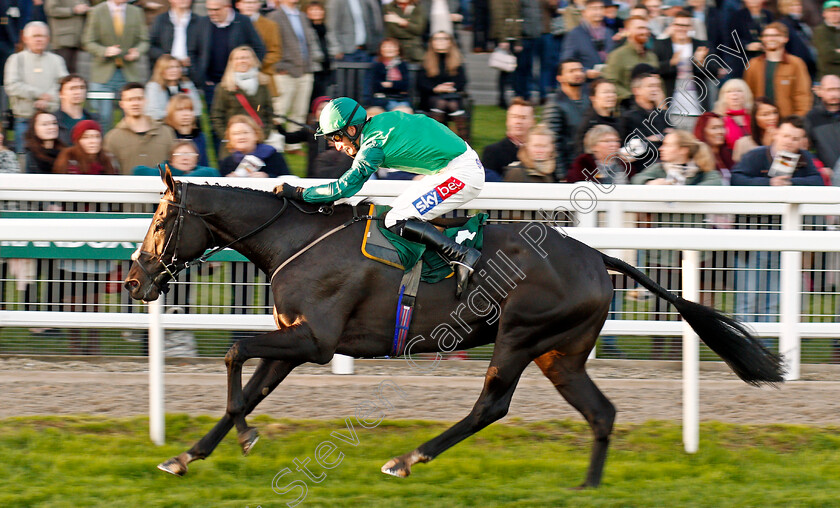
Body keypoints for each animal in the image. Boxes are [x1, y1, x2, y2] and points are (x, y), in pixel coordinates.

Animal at [126, 170, 788, 488]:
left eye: (159, 221)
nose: (133, 280)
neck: (294, 240)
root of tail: (598, 258)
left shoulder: (314, 341)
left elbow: (235, 352)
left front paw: (245, 438)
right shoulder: (295, 339)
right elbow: (251, 383)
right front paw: (187, 456)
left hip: (519, 336)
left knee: (490, 405)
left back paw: (407, 459)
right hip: (560, 353)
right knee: (600, 412)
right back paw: (587, 486)